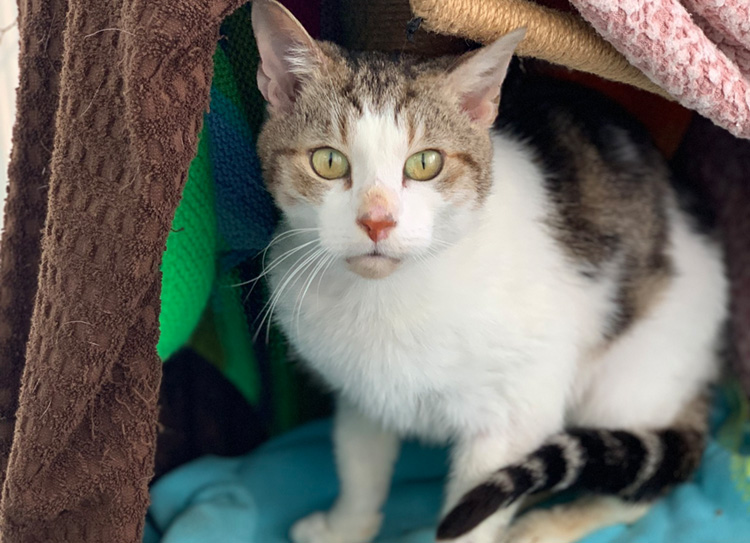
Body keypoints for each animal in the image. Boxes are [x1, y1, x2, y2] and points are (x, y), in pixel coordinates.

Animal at [251, 1, 728, 543]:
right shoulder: (362, 394)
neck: (386, 299)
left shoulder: (514, 413)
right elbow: (359, 465)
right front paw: (345, 526)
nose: (377, 220)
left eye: (425, 164)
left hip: (627, 379)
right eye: (328, 161)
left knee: (636, 487)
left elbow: (477, 509)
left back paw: (542, 524)